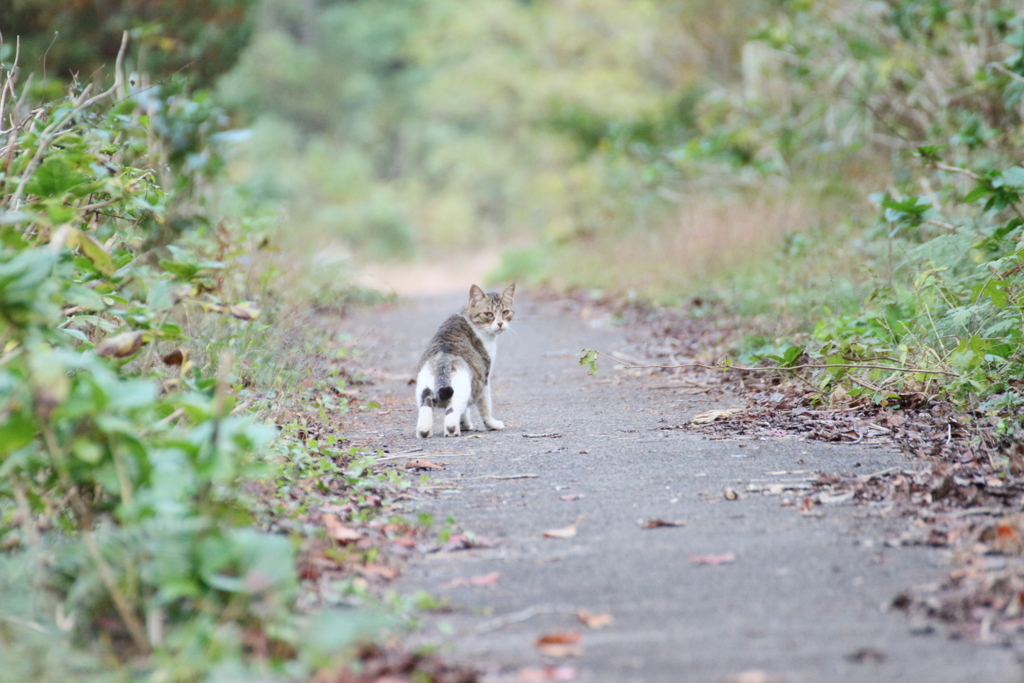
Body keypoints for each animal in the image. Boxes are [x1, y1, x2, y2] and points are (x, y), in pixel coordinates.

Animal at [413, 282, 516, 438]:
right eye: (489, 314)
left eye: (505, 312)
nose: (500, 324)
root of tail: (444, 358)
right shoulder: (484, 378)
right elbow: (485, 407)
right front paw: (492, 425)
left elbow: (466, 411)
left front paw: (465, 425)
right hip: (460, 392)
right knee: (451, 415)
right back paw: (453, 431)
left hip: (424, 393)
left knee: (425, 413)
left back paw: (425, 432)